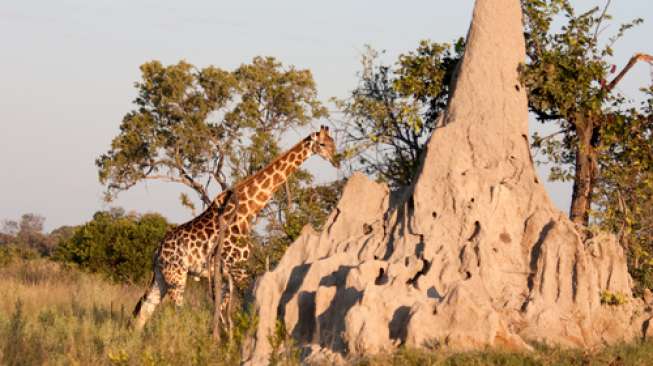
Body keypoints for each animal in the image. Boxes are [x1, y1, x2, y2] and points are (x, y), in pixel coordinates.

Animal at [131, 126, 336, 328]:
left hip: (161, 276)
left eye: (333, 142)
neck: (247, 212)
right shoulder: (239, 269)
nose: (335, 160)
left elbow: (222, 310)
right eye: (322, 144)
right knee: (175, 312)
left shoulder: (227, 273)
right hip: (177, 276)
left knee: (144, 312)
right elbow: (244, 304)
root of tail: (157, 251)